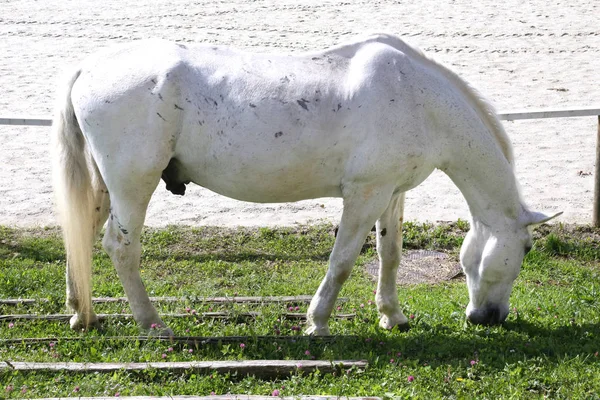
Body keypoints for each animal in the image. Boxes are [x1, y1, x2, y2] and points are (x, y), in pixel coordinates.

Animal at [52, 33, 564, 334]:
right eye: (527, 249)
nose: (489, 318)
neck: (417, 98)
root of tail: (89, 67)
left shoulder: (390, 194)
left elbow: (390, 255)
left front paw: (392, 316)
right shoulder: (364, 195)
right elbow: (342, 261)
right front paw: (317, 324)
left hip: (105, 187)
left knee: (80, 234)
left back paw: (82, 312)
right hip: (133, 186)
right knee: (121, 247)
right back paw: (153, 325)